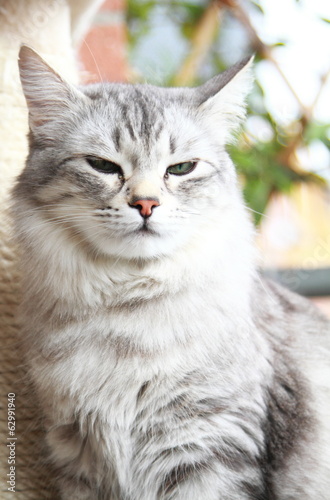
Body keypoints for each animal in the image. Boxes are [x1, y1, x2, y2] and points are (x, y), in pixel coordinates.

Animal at [11, 45, 330, 498]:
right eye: (102, 166)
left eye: (181, 169)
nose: (146, 204)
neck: (126, 313)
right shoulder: (78, 454)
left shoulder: (208, 445)